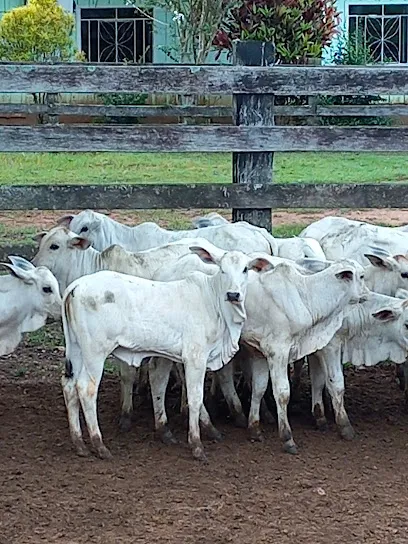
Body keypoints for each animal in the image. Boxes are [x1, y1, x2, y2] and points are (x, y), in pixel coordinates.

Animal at [61, 241, 270, 460]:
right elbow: (195, 399)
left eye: (245, 269)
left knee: (69, 386)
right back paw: (99, 445)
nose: (233, 294)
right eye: (222, 269)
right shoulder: (195, 358)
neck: (214, 302)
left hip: (76, 349)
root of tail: (75, 286)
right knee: (86, 389)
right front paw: (196, 445)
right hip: (94, 353)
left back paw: (79, 444)